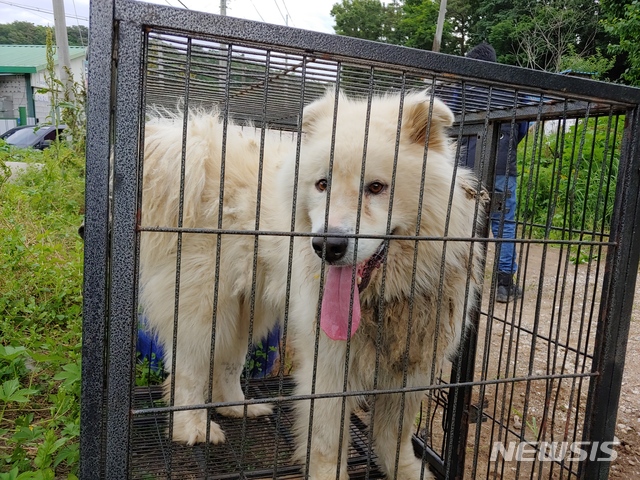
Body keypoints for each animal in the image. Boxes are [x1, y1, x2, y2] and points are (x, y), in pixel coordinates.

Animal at [139, 89, 480, 476]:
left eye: (376, 187)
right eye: (322, 185)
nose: (327, 246)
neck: (384, 299)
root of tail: (194, 145)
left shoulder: (413, 365)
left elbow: (396, 437)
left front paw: (407, 471)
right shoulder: (329, 363)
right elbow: (328, 438)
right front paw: (328, 474)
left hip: (247, 310)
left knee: (227, 363)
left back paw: (237, 407)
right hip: (206, 305)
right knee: (188, 368)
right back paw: (193, 427)